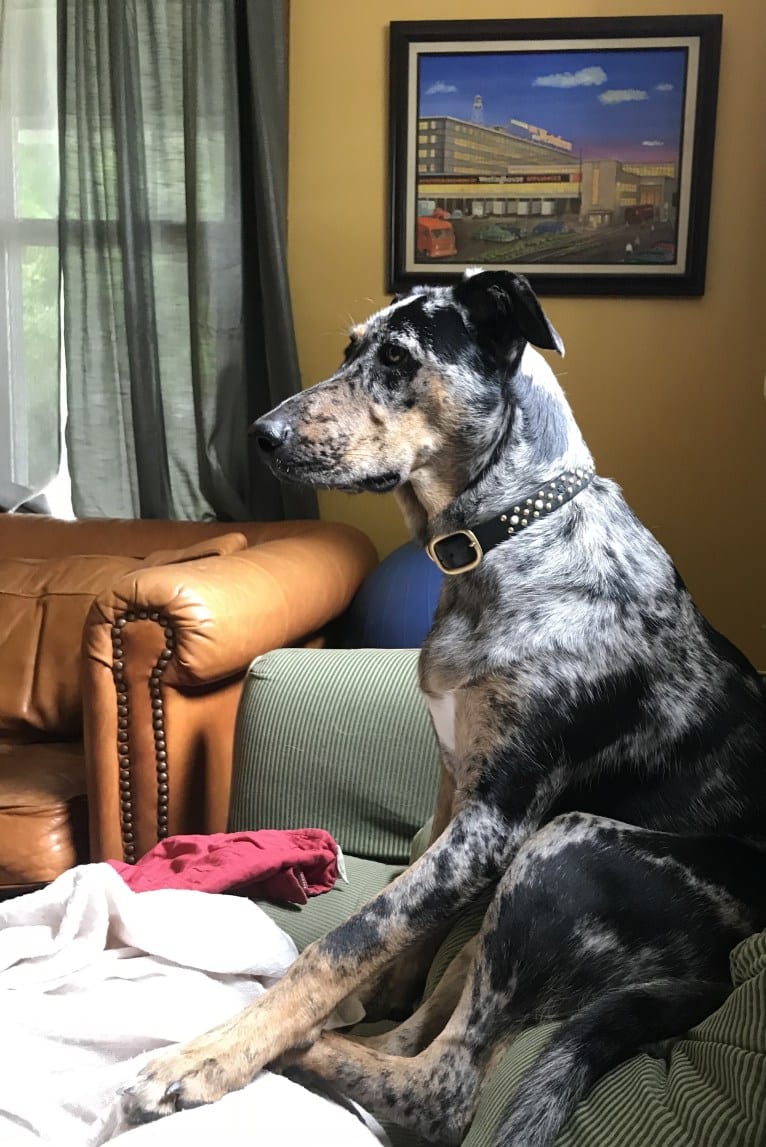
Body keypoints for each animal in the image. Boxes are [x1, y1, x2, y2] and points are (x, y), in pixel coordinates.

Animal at [125, 270, 766, 1147]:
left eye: (398, 358)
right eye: (350, 349)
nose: (262, 433)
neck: (500, 543)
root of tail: (713, 977)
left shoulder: (495, 817)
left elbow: (346, 940)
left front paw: (217, 1053)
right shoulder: (454, 786)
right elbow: (405, 912)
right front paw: (375, 990)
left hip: (561, 844)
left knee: (445, 1085)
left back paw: (294, 1046)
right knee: (426, 1022)